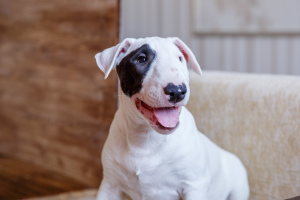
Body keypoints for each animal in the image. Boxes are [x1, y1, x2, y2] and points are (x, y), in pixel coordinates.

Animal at [95, 36, 250, 199]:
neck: (146, 138)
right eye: (141, 59)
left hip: (238, 186)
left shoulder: (194, 185)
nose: (177, 91)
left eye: (180, 58)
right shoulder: (110, 184)